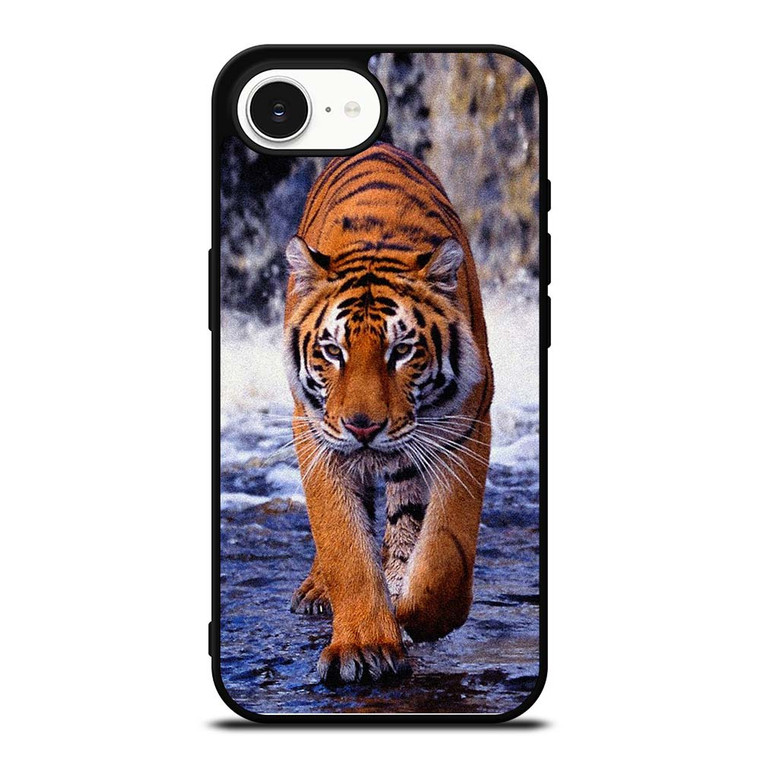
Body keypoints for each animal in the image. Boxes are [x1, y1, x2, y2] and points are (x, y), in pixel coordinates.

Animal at [283, 142, 493, 683]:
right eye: (332, 351)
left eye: (401, 351)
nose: (363, 427)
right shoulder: (316, 435)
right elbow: (343, 542)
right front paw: (364, 646)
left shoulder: (465, 428)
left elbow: (444, 553)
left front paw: (416, 615)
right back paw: (319, 590)